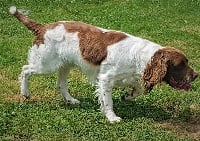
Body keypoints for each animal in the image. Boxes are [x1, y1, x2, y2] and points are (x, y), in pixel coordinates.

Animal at [9, 6, 198, 123]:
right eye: (180, 64)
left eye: (186, 62)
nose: (196, 75)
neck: (141, 56)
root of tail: (42, 27)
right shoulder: (105, 79)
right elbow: (108, 102)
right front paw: (112, 118)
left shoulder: (132, 77)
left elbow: (138, 89)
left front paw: (127, 96)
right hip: (46, 64)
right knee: (25, 70)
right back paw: (25, 93)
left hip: (65, 65)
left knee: (60, 85)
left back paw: (71, 100)